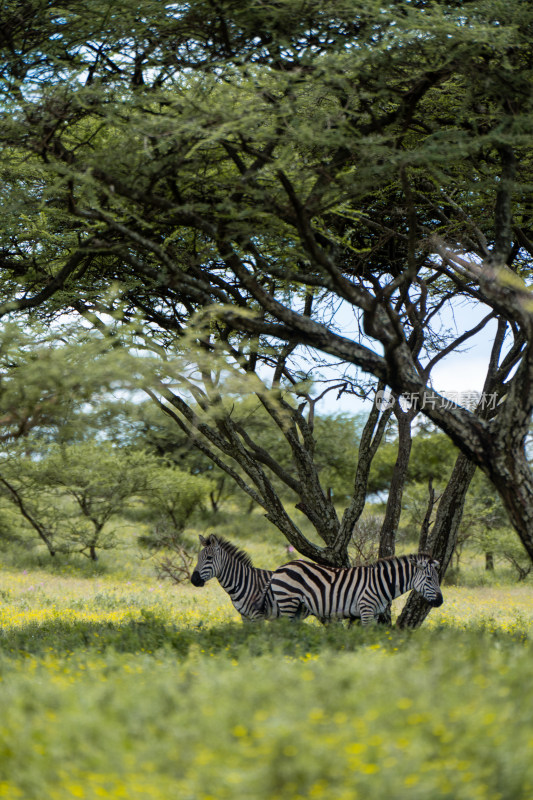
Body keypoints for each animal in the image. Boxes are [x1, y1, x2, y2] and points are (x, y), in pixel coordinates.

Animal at [256, 552, 442, 624]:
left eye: (438, 579)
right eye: (429, 579)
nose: (440, 602)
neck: (382, 582)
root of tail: (279, 568)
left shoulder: (375, 613)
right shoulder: (366, 609)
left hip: (297, 607)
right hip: (288, 601)